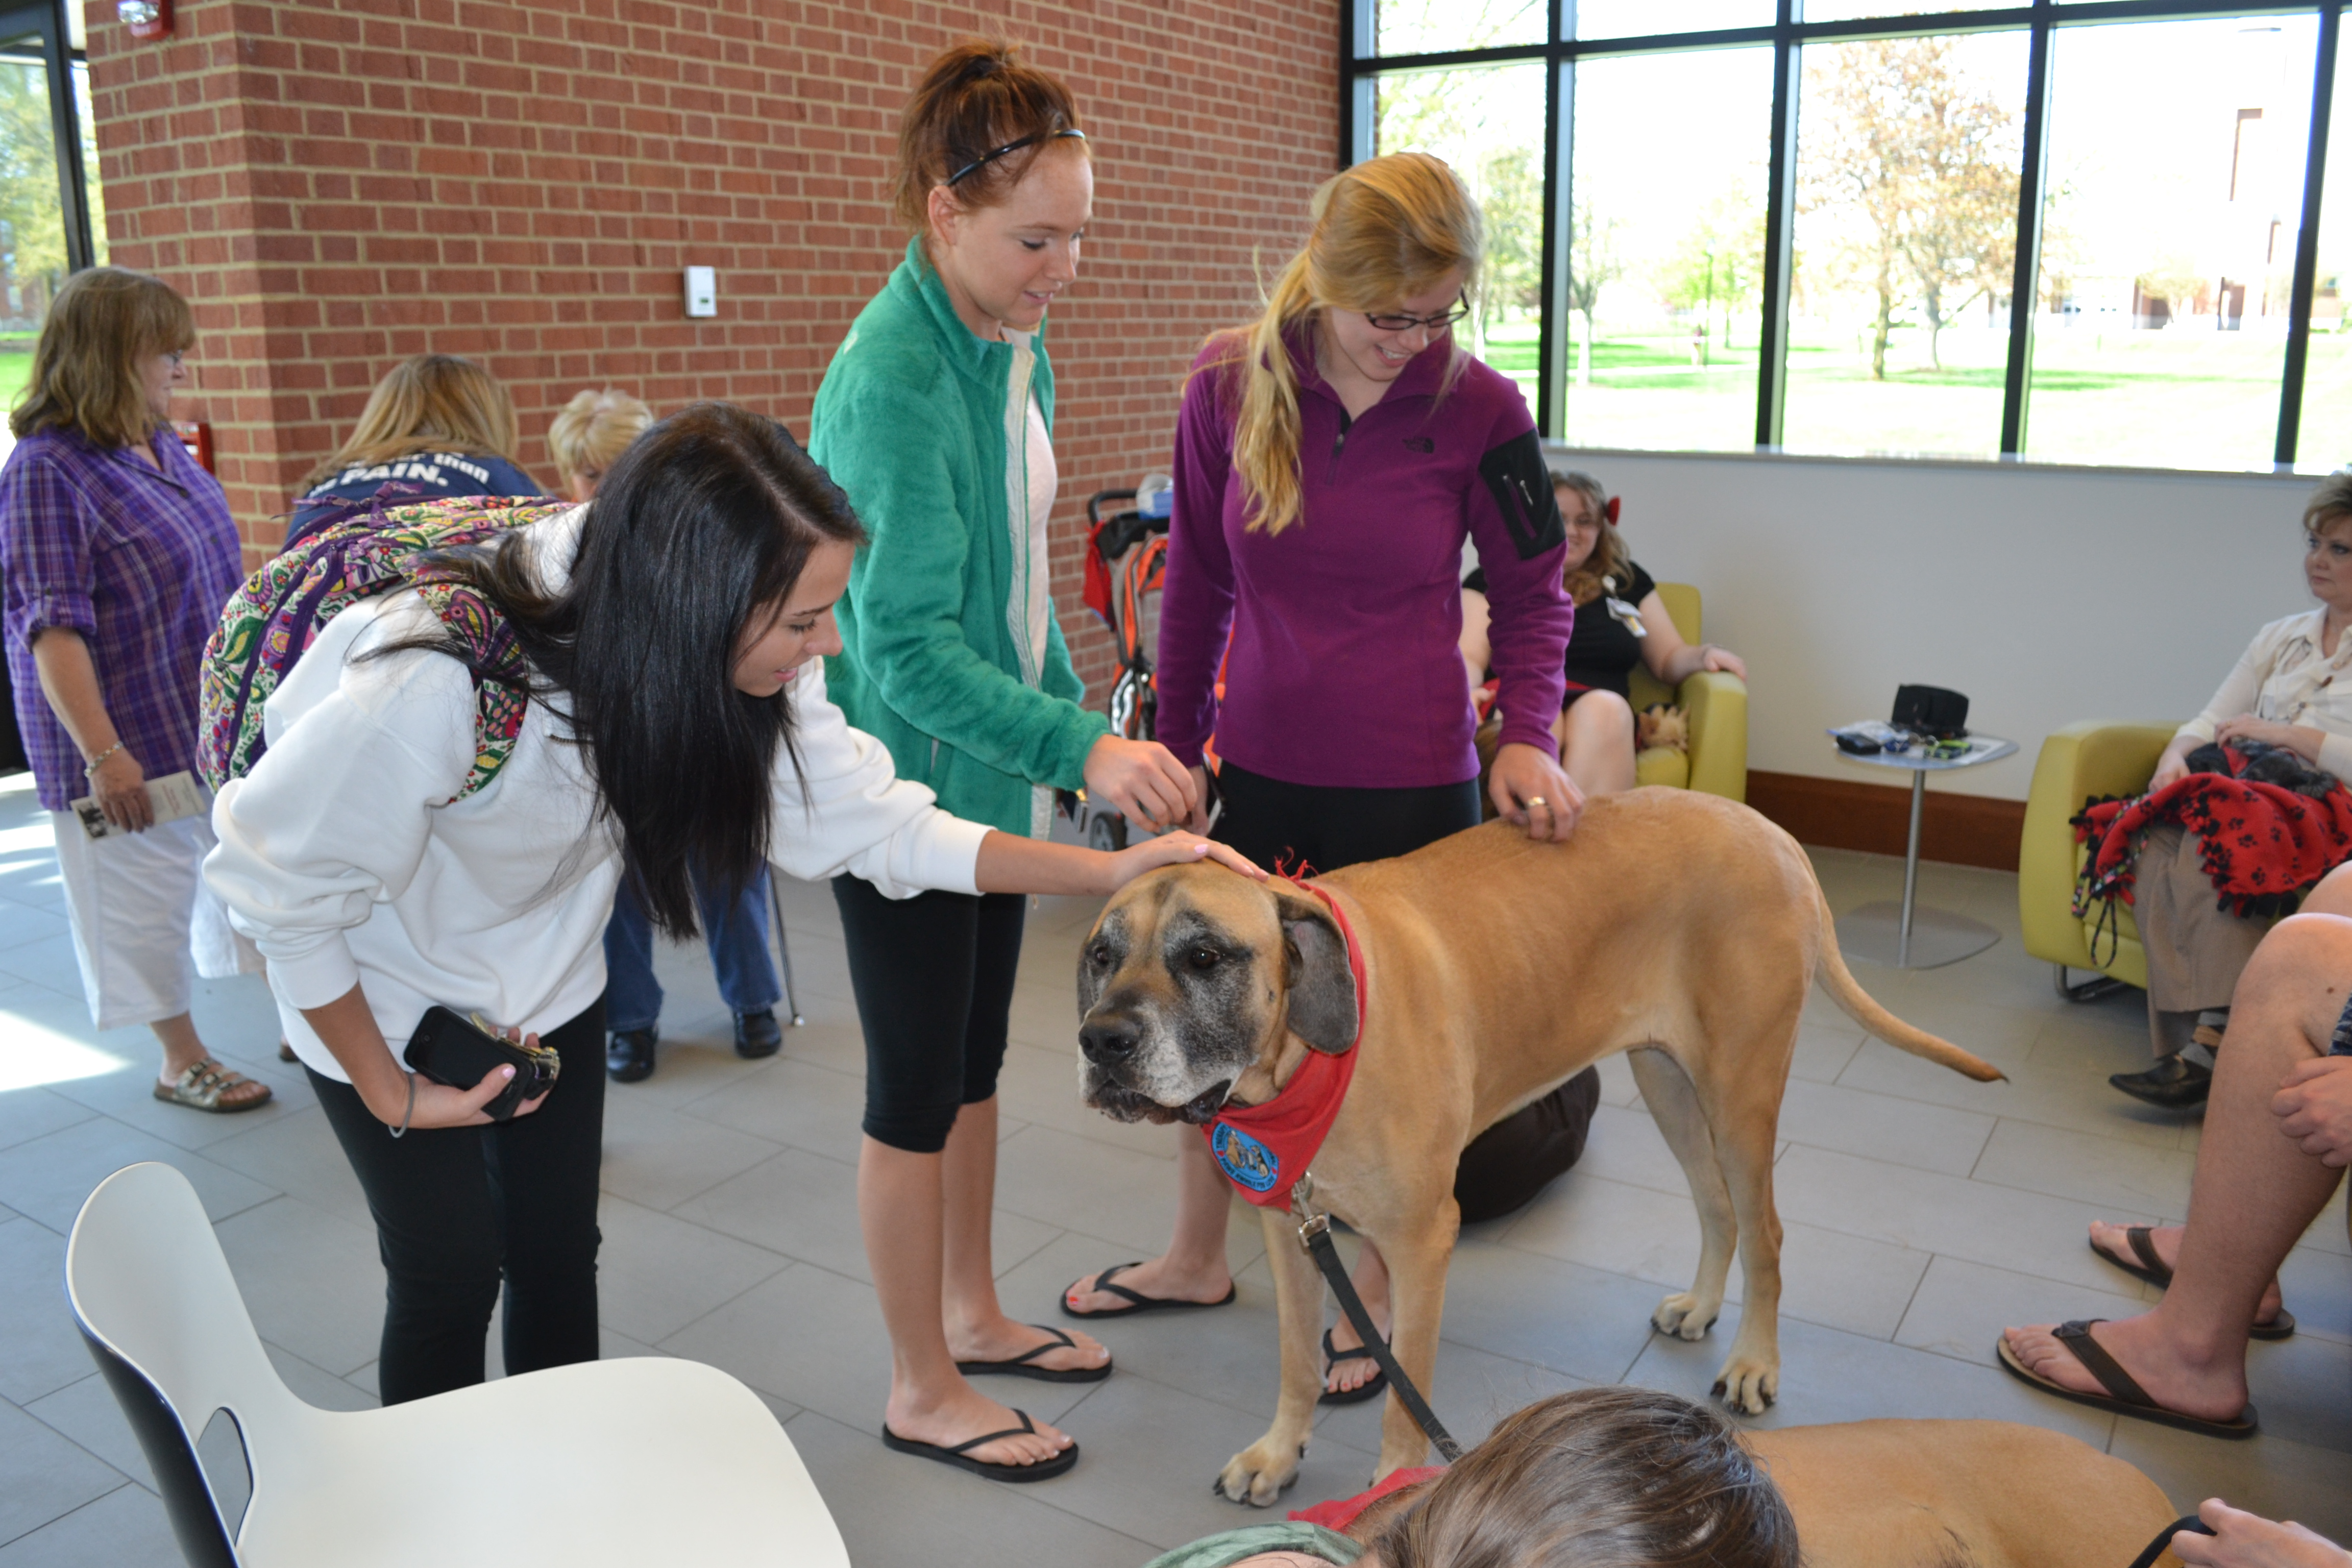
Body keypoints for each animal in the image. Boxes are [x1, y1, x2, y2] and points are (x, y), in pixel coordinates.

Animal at [1077, 799, 2004, 1504]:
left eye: (1204, 955)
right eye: (1100, 954)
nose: (1100, 1042)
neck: (1304, 1061)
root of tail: (1772, 832)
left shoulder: (1423, 1241)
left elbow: (1405, 1397)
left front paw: (1393, 1489)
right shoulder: (1288, 1226)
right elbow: (1299, 1360)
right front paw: (1278, 1453)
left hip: (1740, 1090)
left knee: (1766, 1231)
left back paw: (1752, 1362)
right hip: (1667, 1079)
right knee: (1717, 1209)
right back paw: (1702, 1308)